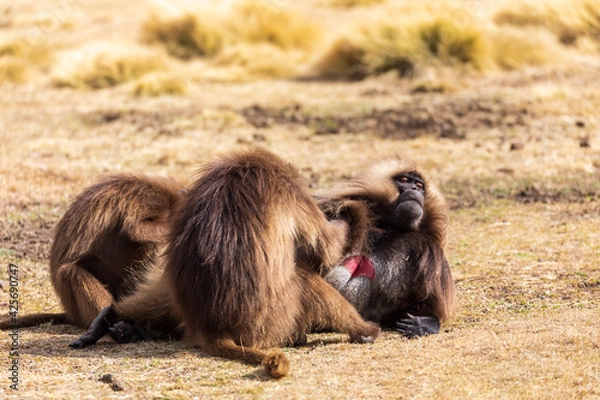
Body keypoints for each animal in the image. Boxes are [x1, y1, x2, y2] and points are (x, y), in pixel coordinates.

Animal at [71, 148, 380, 380]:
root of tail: (213, 328)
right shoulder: (291, 194)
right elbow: (324, 249)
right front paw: (352, 213)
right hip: (270, 322)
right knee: (305, 280)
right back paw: (364, 331)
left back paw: (110, 320)